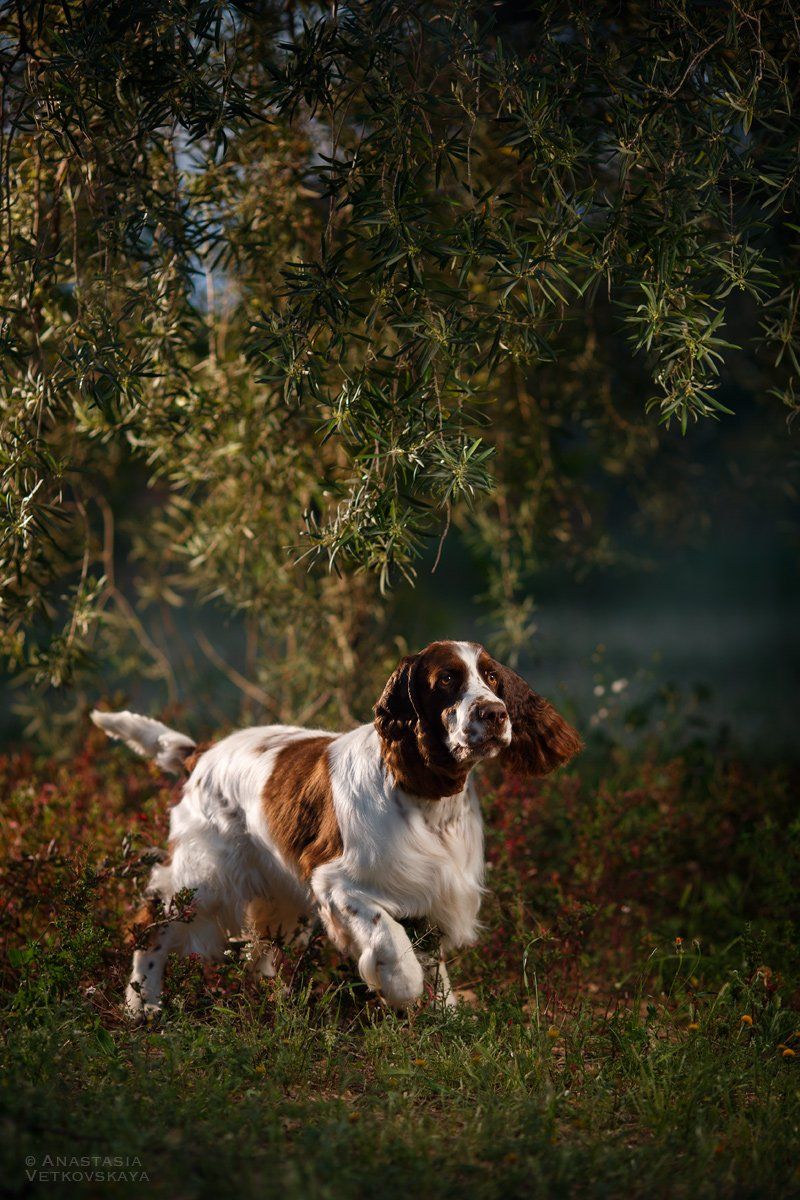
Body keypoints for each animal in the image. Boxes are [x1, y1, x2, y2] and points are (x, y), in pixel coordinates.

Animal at [92, 643, 582, 1017]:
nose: (495, 713)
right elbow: (393, 942)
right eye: (446, 679)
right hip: (205, 877)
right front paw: (399, 990)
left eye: (492, 678)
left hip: (276, 896)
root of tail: (200, 754)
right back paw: (142, 1005)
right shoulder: (337, 884)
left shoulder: (430, 888)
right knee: (150, 926)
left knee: (258, 951)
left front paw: (448, 1017)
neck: (423, 795)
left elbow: (434, 962)